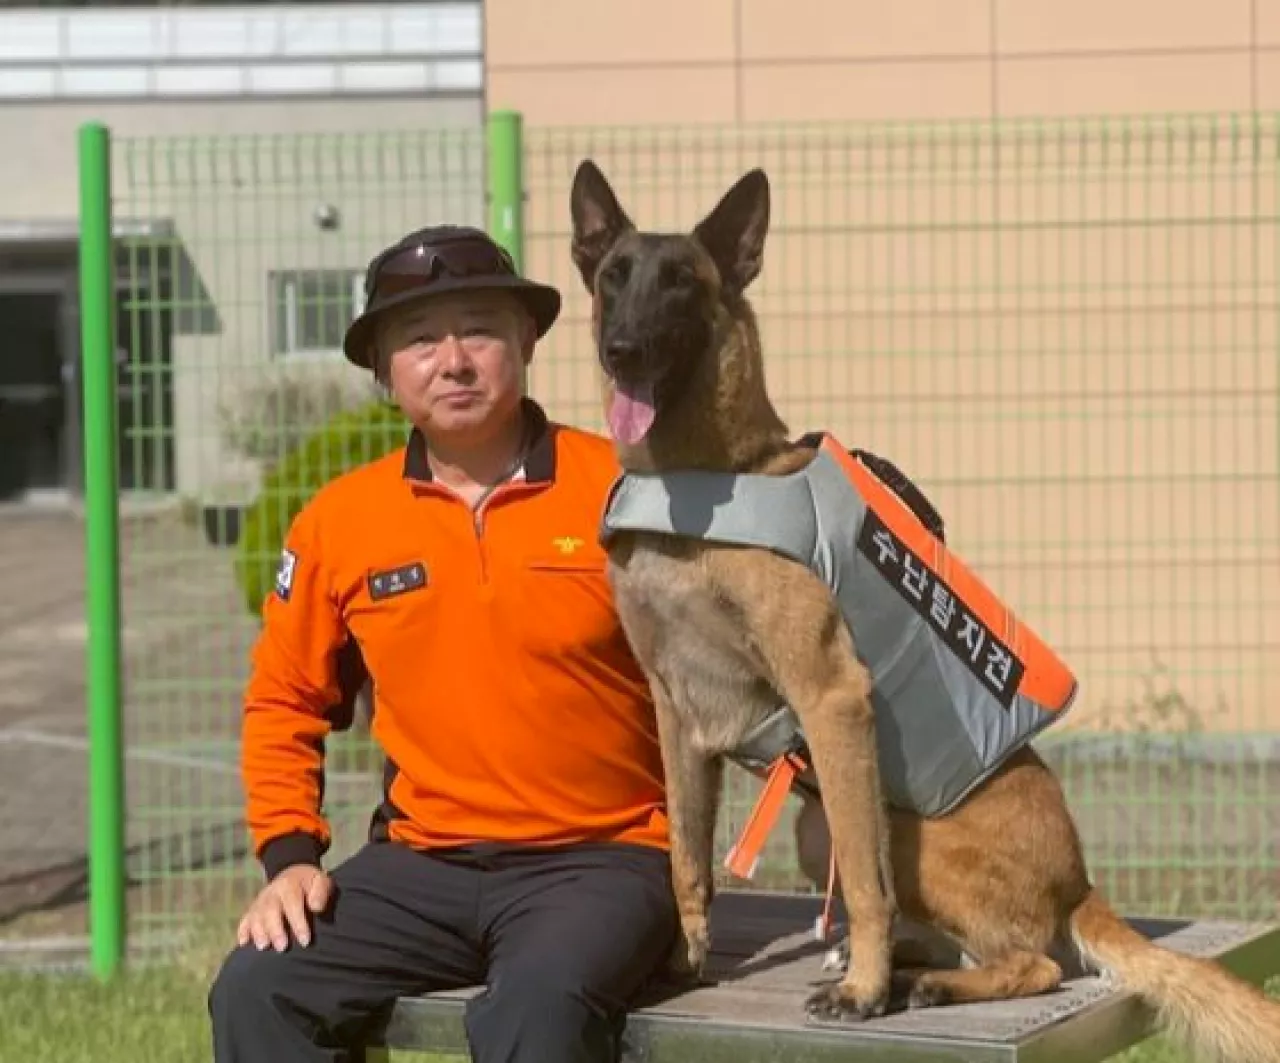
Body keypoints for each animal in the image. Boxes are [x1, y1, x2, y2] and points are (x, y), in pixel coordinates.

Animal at [568, 160, 1280, 1063]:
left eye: (682, 284)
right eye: (613, 277)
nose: (621, 349)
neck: (698, 481)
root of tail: (1080, 880)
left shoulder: (831, 698)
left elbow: (867, 887)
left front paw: (865, 994)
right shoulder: (677, 712)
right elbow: (685, 858)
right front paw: (683, 962)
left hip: (896, 831)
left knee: (1027, 959)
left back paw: (913, 979)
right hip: (815, 827)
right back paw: (898, 962)